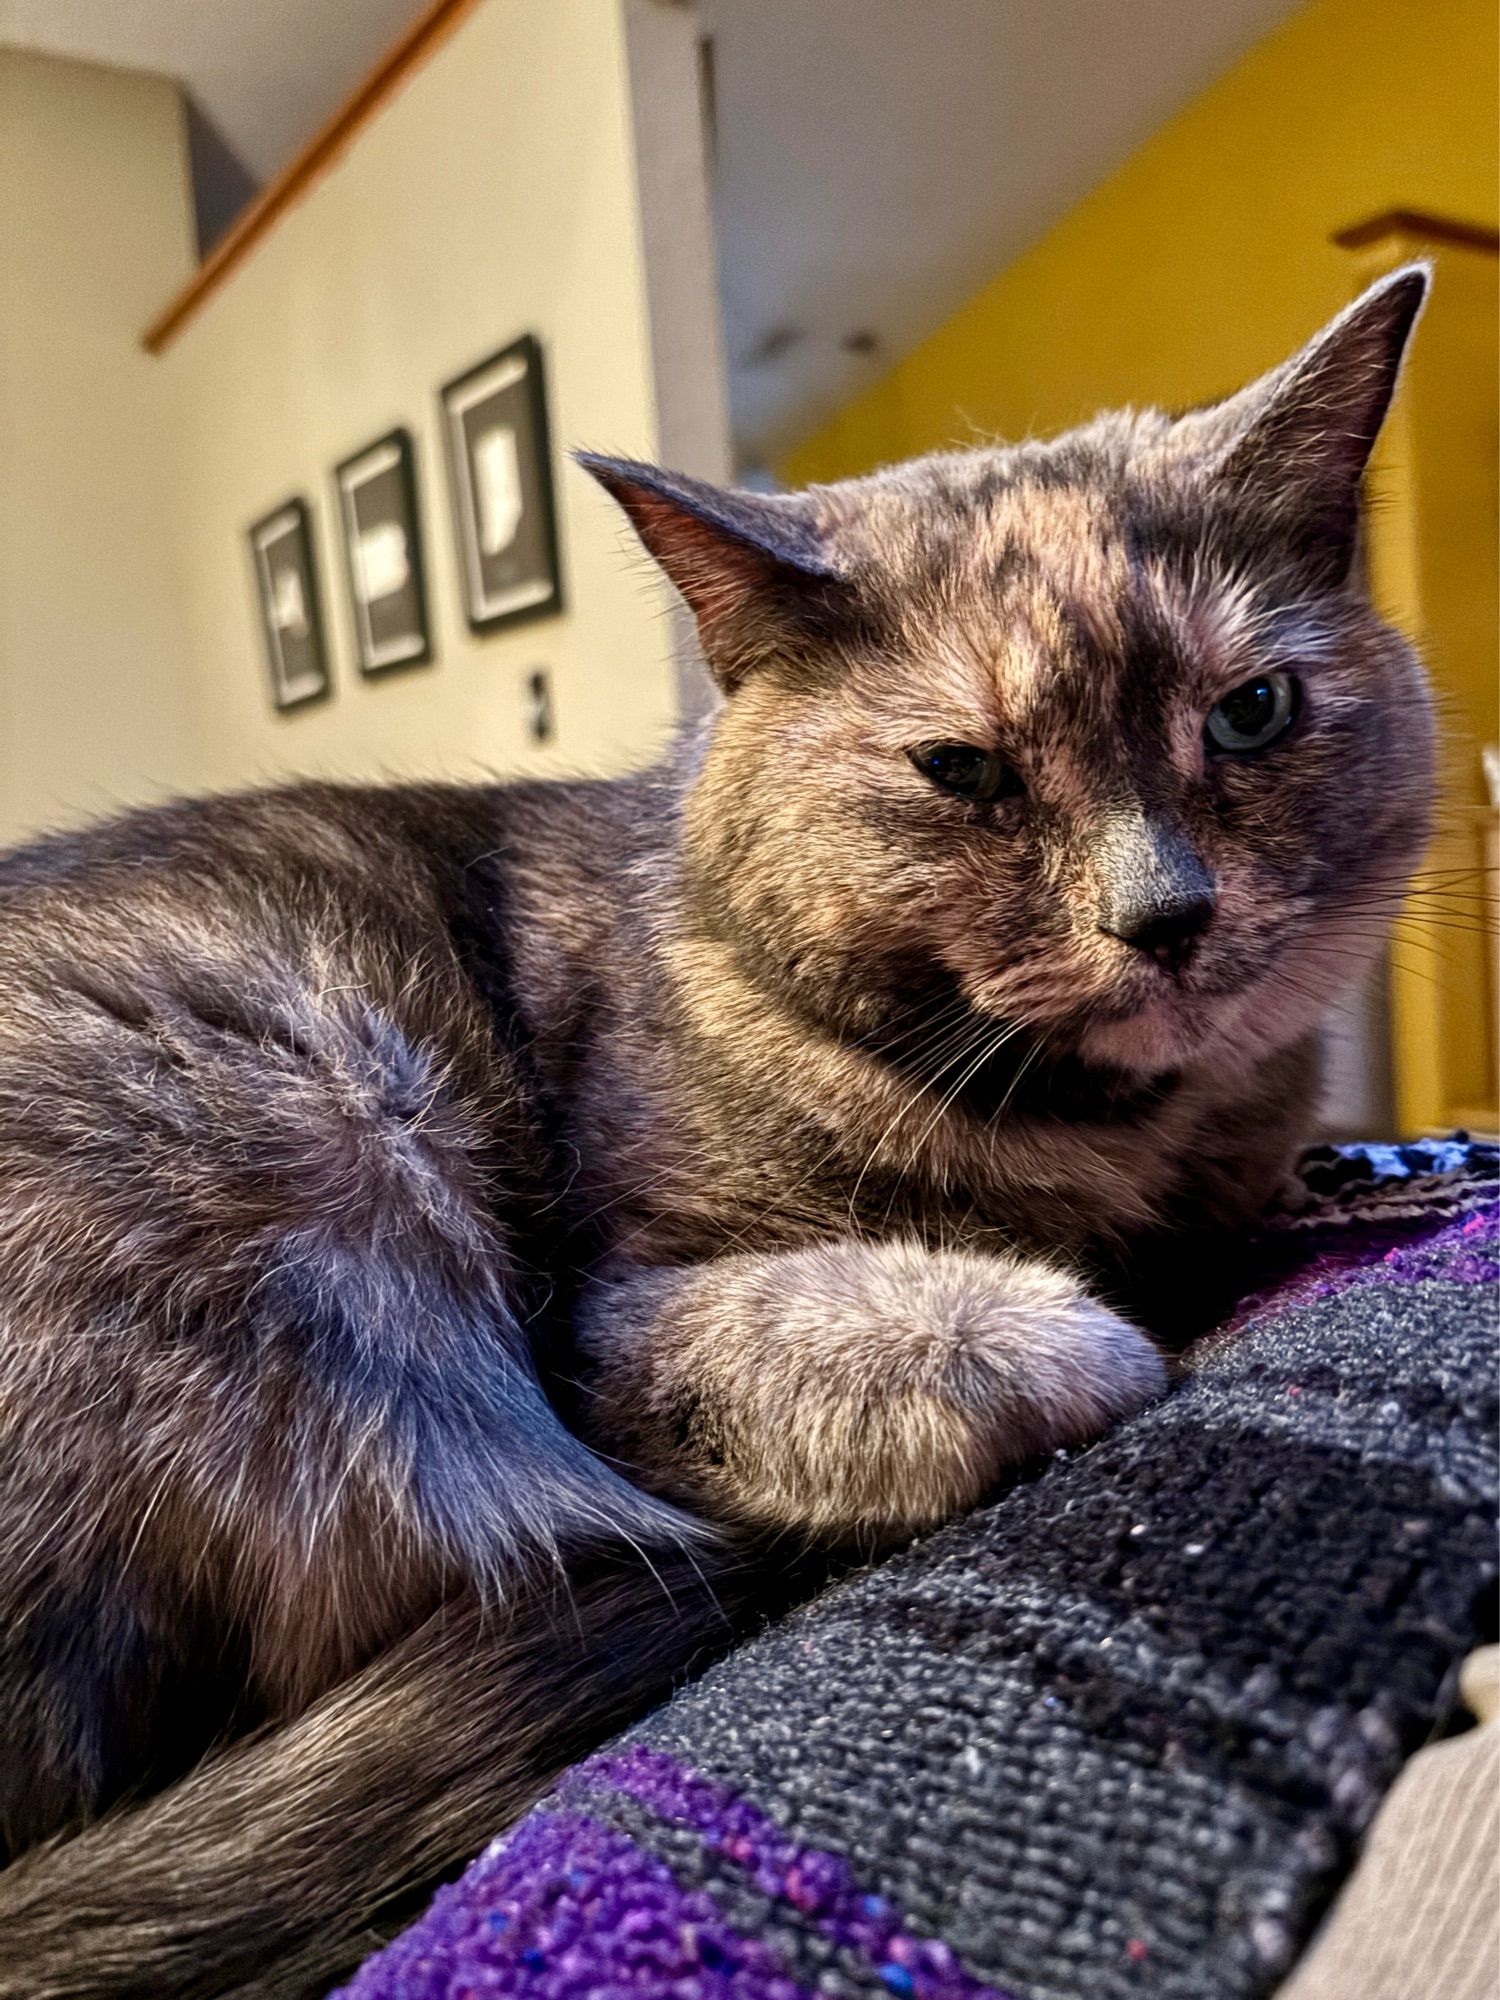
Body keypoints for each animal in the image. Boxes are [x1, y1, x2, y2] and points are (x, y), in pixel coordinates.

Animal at [0, 270, 1440, 2000]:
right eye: (962, 768)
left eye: (1252, 711)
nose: (1164, 913)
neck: (1117, 1148)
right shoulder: (607, 1327)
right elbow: (933, 1338)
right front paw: (1073, 1337)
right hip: (297, 1147)